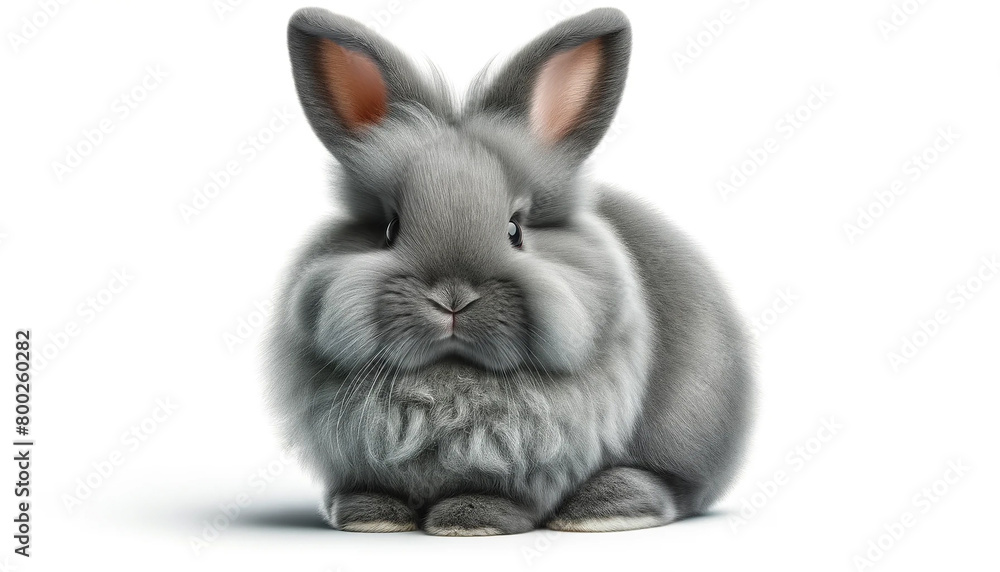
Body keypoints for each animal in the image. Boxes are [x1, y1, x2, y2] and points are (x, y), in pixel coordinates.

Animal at [265, 6, 754, 536]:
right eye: (390, 229)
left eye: (515, 229)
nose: (452, 298)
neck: (450, 384)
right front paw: (367, 514)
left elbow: (501, 491)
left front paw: (470, 519)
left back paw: (607, 506)